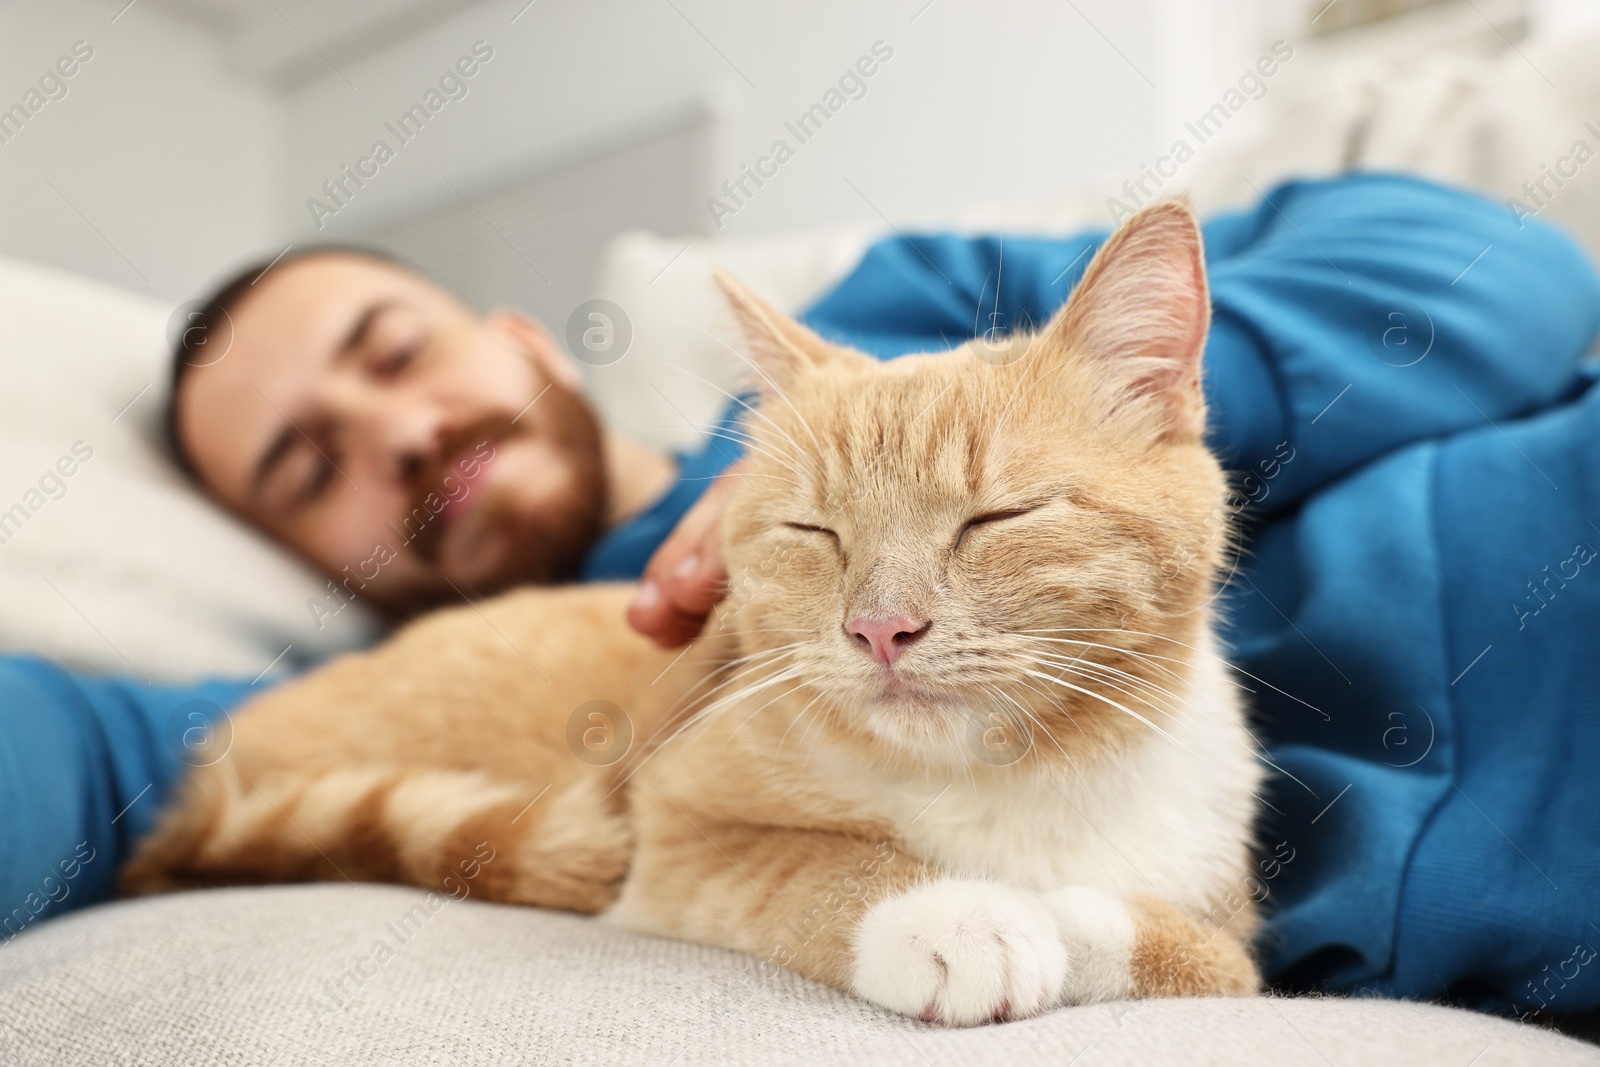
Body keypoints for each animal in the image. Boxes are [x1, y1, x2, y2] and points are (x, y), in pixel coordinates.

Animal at [124, 199, 1260, 1023]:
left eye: (998, 517)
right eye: (814, 531)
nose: (879, 628)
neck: (1005, 778)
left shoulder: (1239, 932)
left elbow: (1192, 948)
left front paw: (1061, 916)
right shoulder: (671, 831)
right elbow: (815, 864)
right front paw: (959, 915)